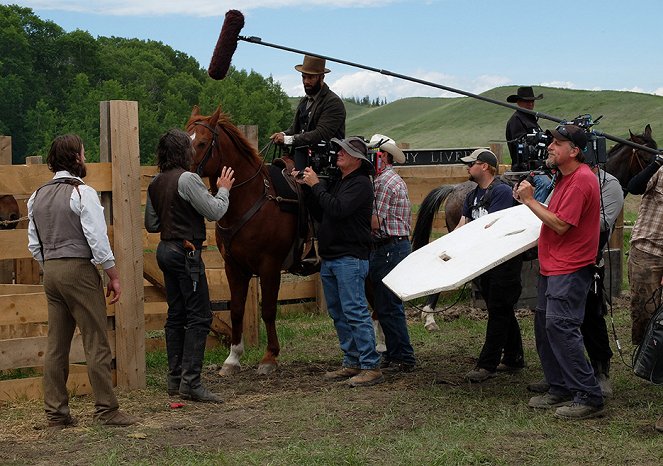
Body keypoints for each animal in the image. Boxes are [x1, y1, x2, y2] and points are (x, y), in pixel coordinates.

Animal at [187, 104, 300, 374]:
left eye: (202, 143)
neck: (250, 198)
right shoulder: (234, 267)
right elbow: (237, 309)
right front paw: (233, 358)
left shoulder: (270, 266)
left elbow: (268, 309)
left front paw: (270, 357)